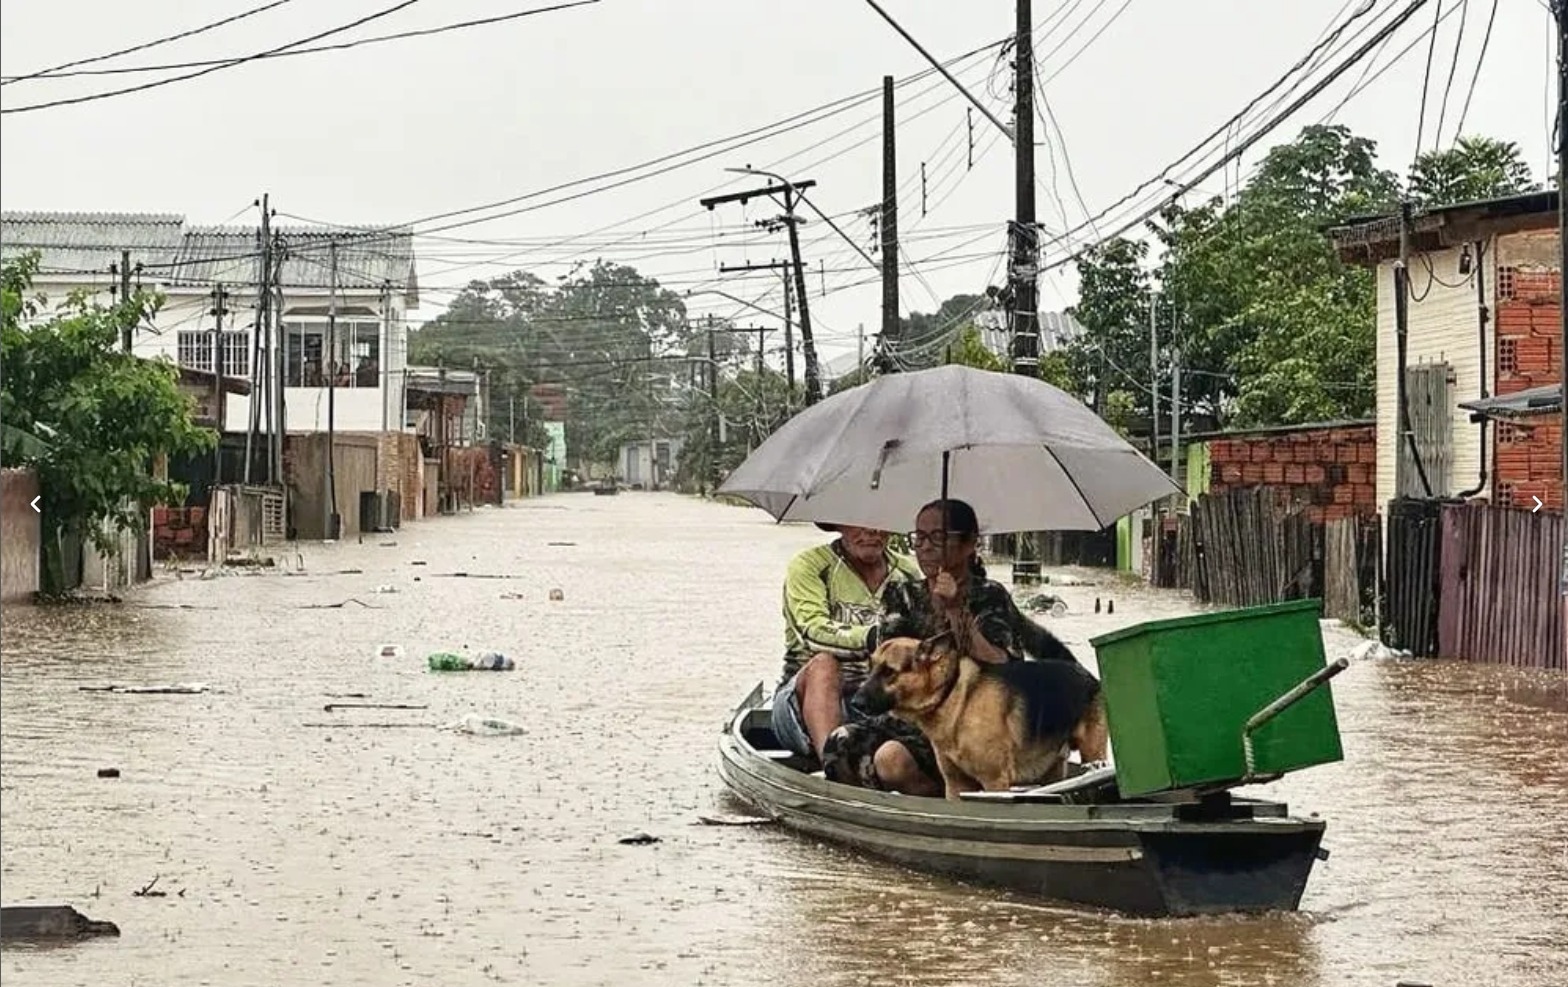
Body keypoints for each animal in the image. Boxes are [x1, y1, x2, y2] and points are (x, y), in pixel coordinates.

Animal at [859, 630, 1103, 800]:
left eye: (889, 672)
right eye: (871, 667)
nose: (855, 702)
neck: (951, 695)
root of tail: (1080, 669)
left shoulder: (995, 782)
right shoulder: (956, 784)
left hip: (1092, 754)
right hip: (1050, 769)